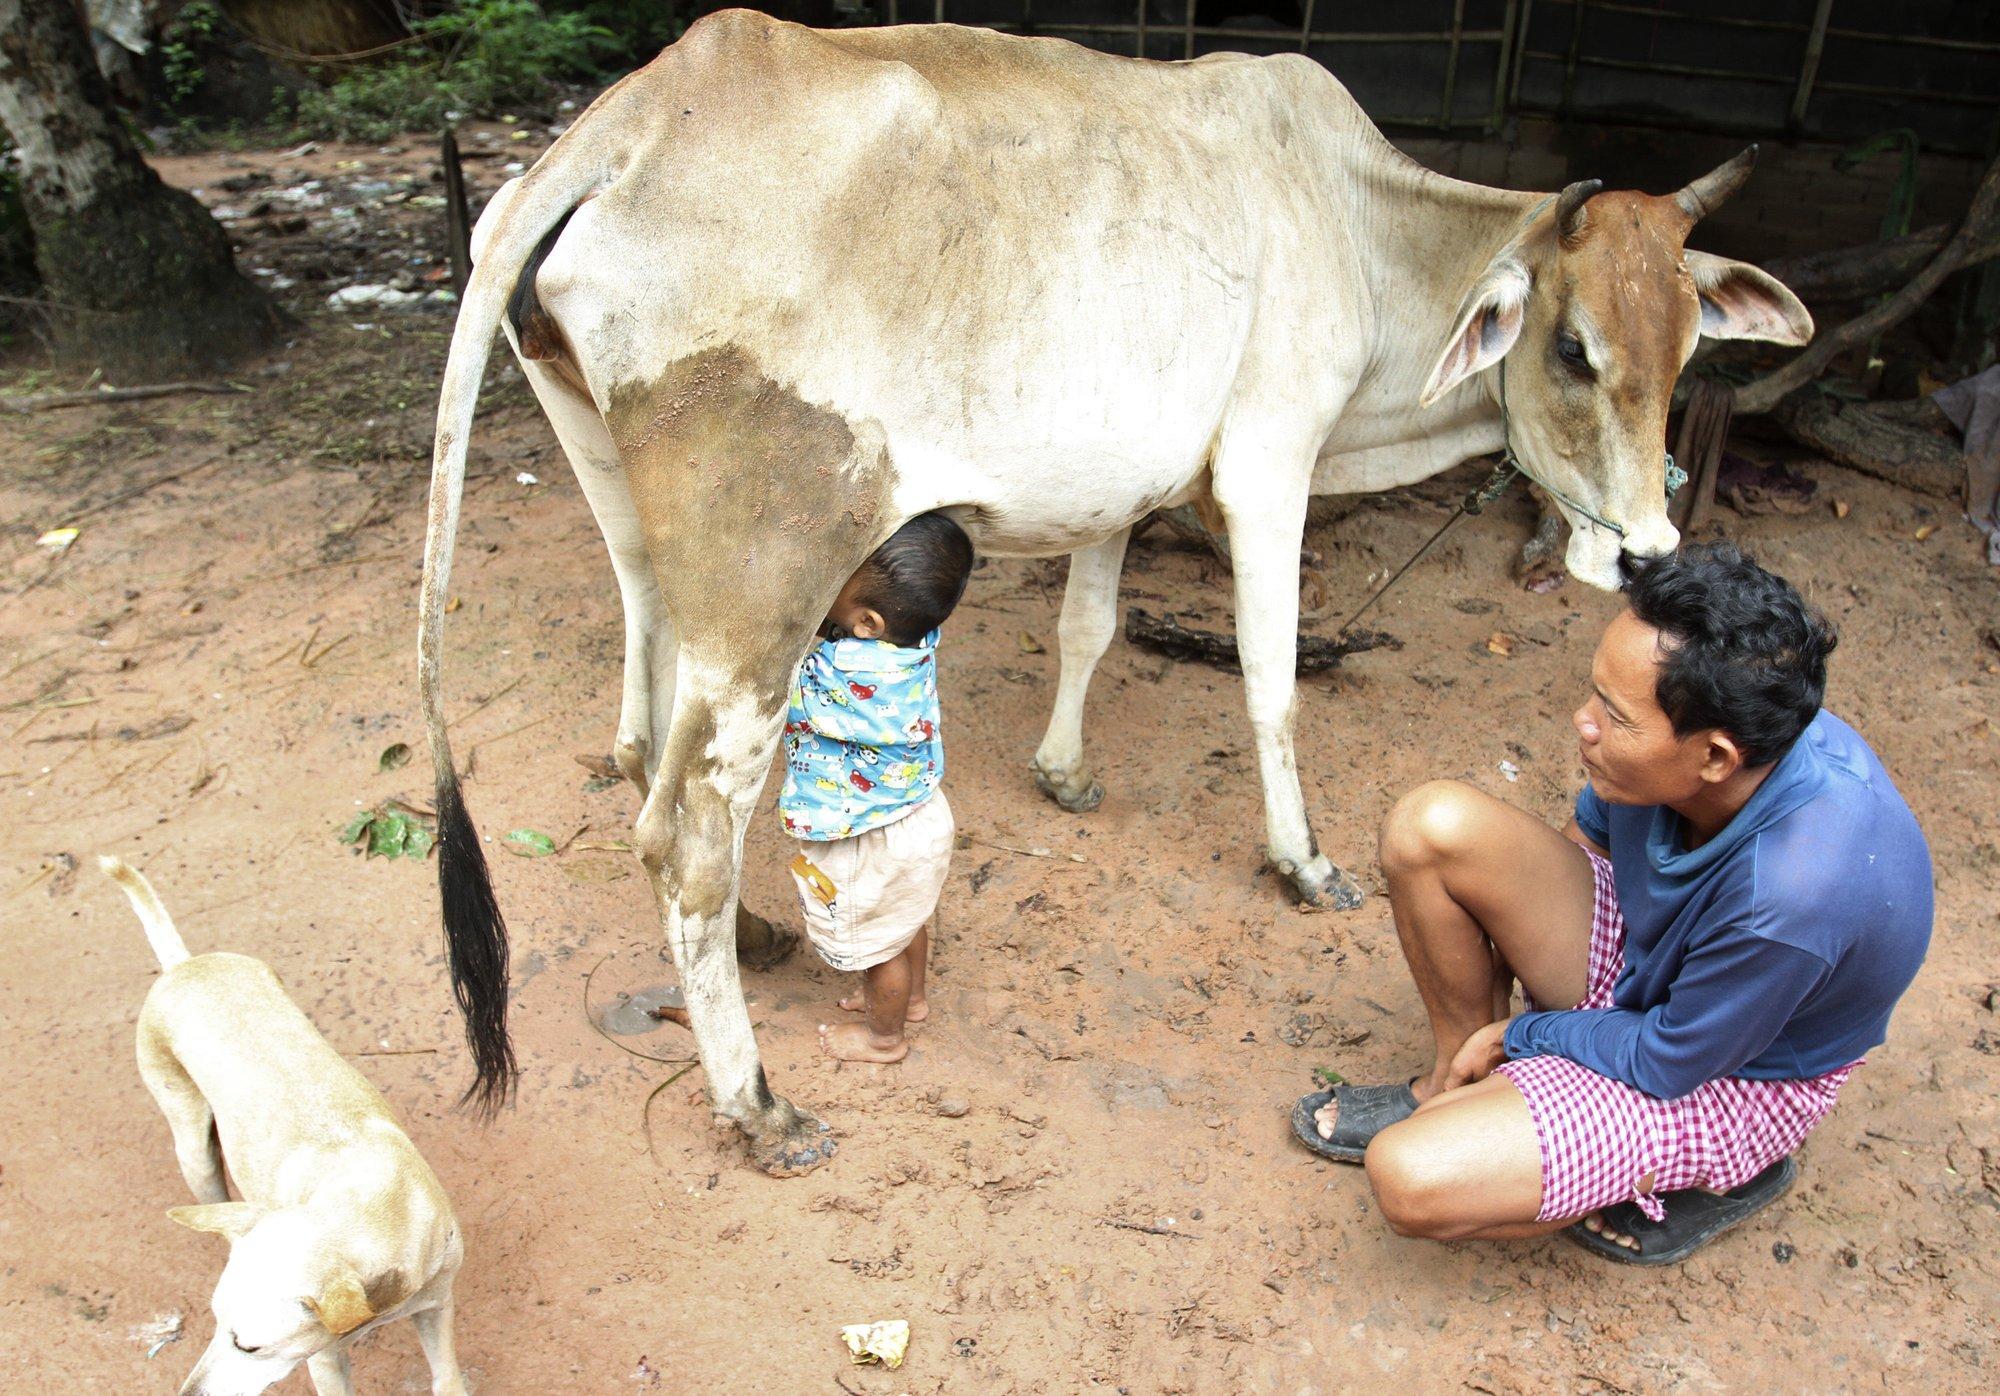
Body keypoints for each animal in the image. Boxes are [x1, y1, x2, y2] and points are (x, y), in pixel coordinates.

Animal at [111, 848, 478, 1392]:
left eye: (248, 1345)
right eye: (214, 1321)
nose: (186, 1392)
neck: (371, 1203)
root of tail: (184, 966)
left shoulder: (436, 1307)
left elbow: (447, 1377)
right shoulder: (324, 1359)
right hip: (193, 1149)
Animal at [418, 13, 1816, 1176]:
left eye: (1688, 347)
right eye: (1573, 350)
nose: (1641, 551)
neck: (1357, 227)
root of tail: (640, 110)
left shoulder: (1124, 481)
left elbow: (1087, 626)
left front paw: (1064, 770)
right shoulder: (1266, 461)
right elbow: (1270, 677)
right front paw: (1302, 859)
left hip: (635, 525)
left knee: (640, 727)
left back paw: (758, 939)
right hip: (766, 578)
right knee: (687, 834)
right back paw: (754, 1104)